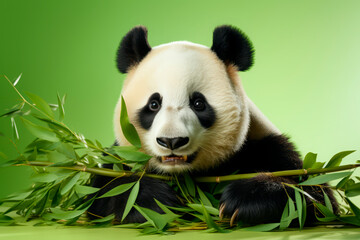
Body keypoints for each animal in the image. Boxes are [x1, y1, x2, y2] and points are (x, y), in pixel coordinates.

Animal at [87, 25, 338, 225]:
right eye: (154, 104)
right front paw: (155, 200)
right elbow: (100, 196)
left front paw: (244, 200)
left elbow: (315, 197)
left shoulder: (265, 146)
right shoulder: (120, 156)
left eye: (198, 103)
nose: (172, 141)